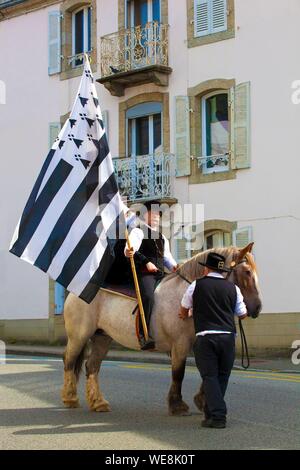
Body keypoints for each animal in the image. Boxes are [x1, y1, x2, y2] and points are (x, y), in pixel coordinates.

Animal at [61, 242, 260, 414]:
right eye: (247, 271)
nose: (257, 308)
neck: (185, 294)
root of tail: (77, 292)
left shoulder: (199, 341)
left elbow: (208, 369)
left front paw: (201, 401)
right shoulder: (180, 344)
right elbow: (178, 373)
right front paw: (177, 405)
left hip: (102, 337)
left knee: (92, 366)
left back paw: (98, 403)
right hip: (79, 336)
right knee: (69, 361)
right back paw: (70, 398)